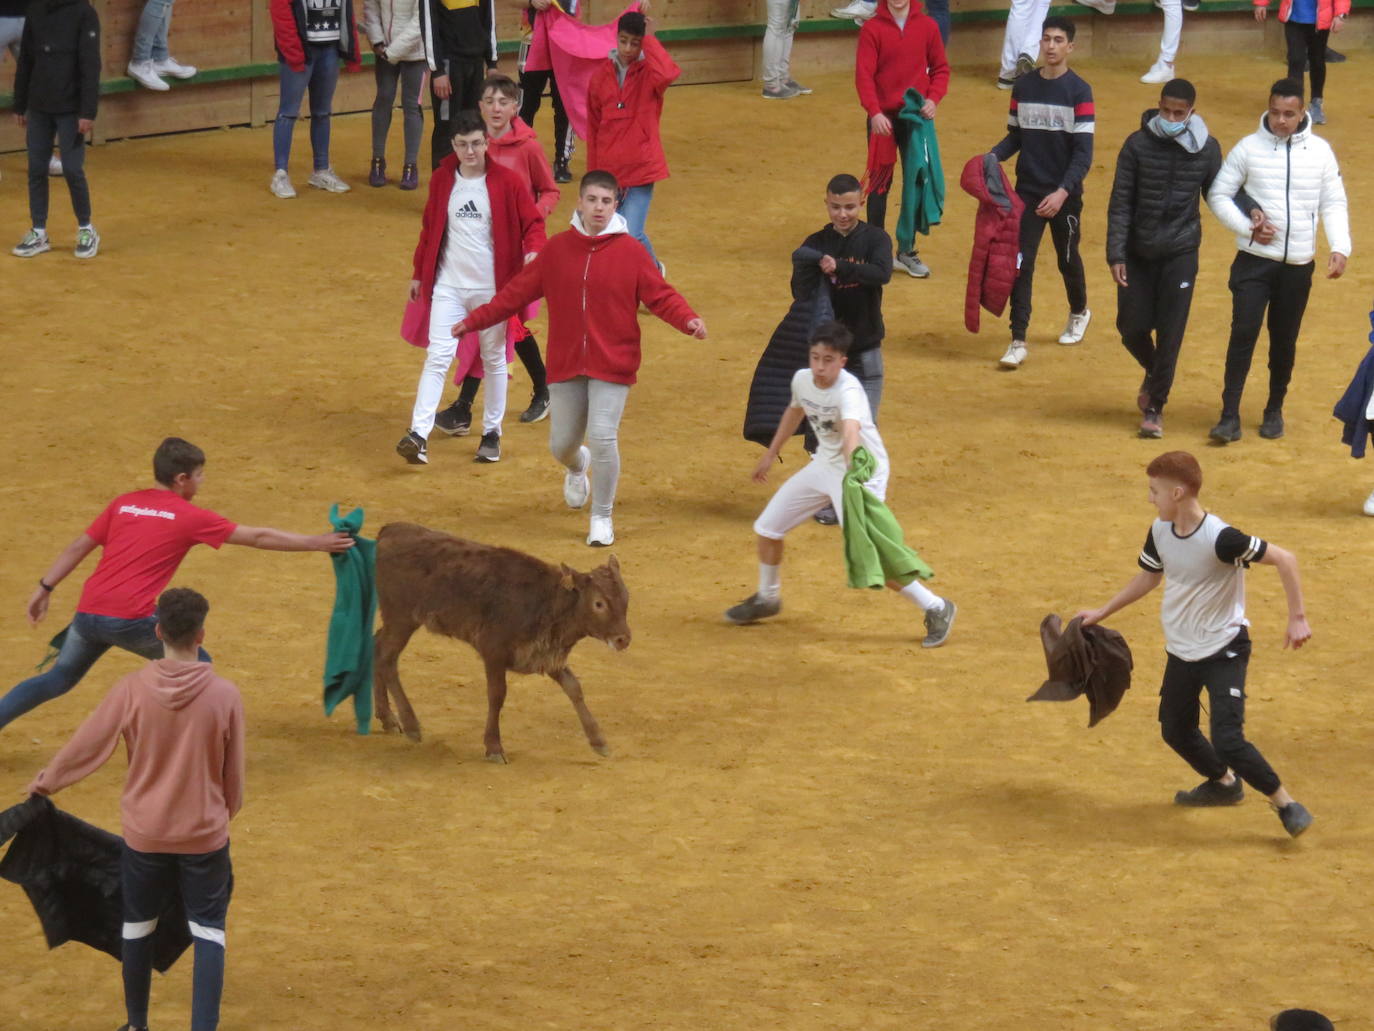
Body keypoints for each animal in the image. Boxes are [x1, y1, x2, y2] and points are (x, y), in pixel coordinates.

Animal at [376, 525, 632, 758]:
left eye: (626, 597)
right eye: (598, 603)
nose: (623, 639)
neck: (546, 601)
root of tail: (389, 531)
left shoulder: (546, 655)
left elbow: (574, 688)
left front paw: (599, 741)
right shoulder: (494, 653)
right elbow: (497, 695)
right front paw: (494, 747)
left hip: (397, 622)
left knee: (375, 644)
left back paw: (388, 718)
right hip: (401, 618)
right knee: (387, 659)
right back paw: (410, 724)